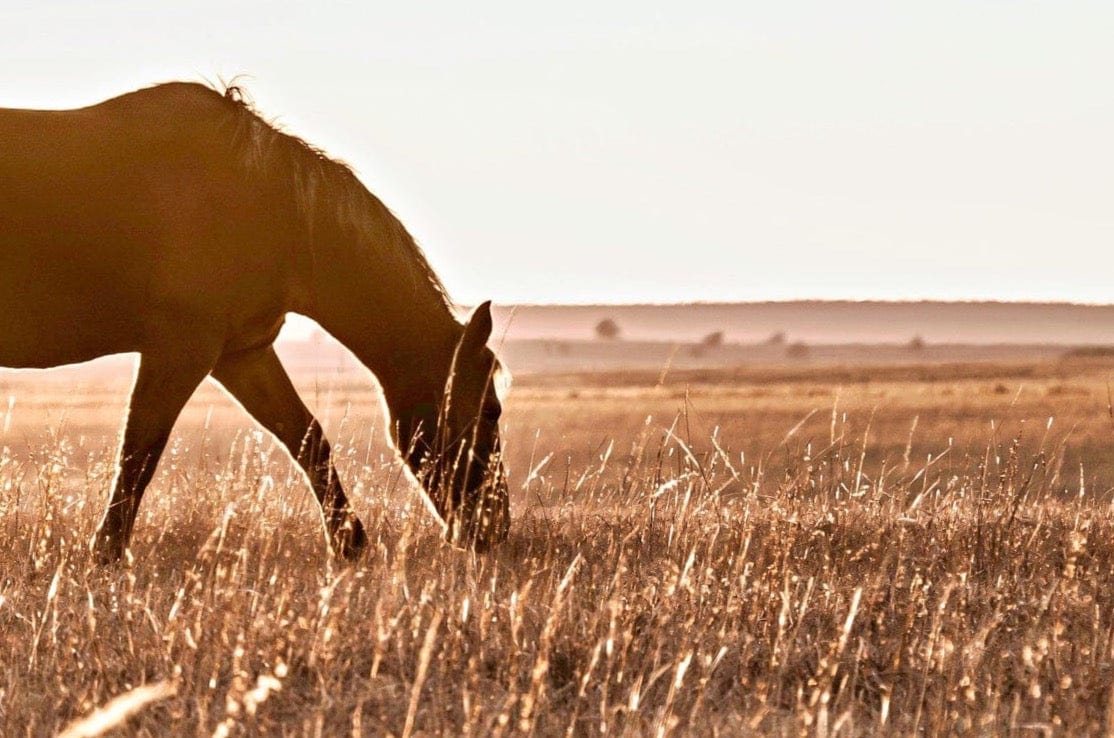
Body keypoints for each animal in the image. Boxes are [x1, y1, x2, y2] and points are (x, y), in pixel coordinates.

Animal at [0, 81, 510, 562]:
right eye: (490, 410)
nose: (494, 528)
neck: (270, 210)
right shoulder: (181, 351)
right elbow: (139, 452)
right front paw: (106, 552)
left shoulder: (242, 354)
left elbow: (307, 438)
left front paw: (348, 542)